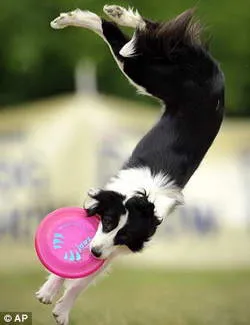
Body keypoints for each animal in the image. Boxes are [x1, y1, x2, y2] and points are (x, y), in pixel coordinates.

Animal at [35, 5, 225, 324]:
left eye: (123, 233)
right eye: (109, 222)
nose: (95, 252)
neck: (142, 197)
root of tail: (211, 67)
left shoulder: (116, 248)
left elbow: (85, 278)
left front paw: (62, 307)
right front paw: (50, 291)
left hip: (152, 75)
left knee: (128, 39)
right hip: (149, 74)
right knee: (133, 37)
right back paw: (98, 15)